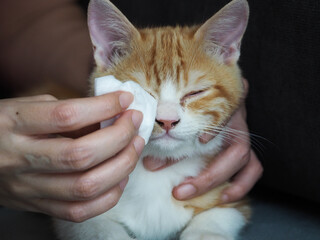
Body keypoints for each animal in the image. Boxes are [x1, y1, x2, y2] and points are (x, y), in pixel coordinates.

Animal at [54, 0, 250, 239]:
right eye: (142, 93)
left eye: (195, 93)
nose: (167, 121)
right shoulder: (74, 214)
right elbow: (97, 227)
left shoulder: (232, 200)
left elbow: (212, 220)